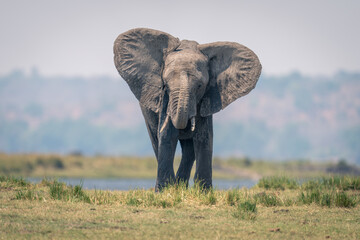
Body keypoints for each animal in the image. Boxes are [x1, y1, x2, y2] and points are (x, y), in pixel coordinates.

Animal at [113, 28, 262, 190]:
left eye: (200, 86)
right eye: (165, 84)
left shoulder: (207, 98)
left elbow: (204, 137)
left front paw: (204, 191)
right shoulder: (165, 99)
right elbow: (167, 135)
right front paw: (165, 190)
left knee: (189, 150)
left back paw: (180, 186)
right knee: (156, 140)